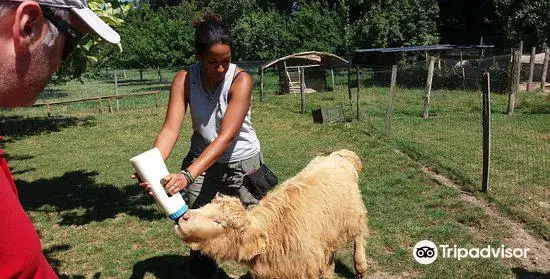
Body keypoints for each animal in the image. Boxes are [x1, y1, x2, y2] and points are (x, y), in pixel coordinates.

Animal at [175, 150, 368, 279]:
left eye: (219, 222)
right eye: (204, 206)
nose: (184, 217)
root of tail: (339, 154)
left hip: (354, 216)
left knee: (359, 236)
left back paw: (360, 266)